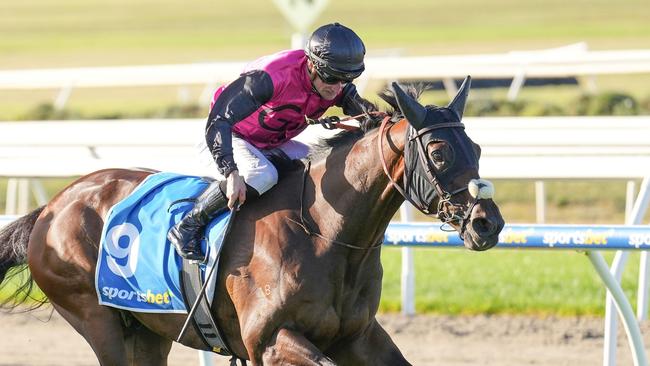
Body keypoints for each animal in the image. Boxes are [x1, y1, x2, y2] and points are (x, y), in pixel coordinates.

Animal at [0, 78, 502, 366]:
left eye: (478, 148)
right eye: (439, 151)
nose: (487, 224)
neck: (324, 233)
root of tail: (53, 206)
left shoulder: (357, 336)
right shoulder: (269, 340)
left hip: (147, 329)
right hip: (97, 319)